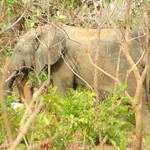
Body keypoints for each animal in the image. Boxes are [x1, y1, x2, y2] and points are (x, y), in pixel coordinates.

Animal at [3, 23, 150, 134]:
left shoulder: (63, 60)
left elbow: (62, 90)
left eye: (19, 51)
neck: (44, 30)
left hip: (128, 70)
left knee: (137, 102)